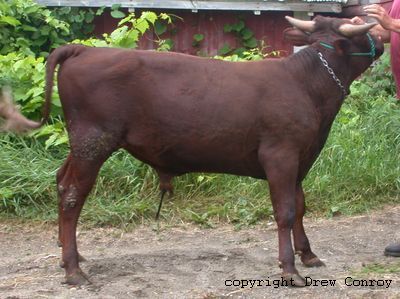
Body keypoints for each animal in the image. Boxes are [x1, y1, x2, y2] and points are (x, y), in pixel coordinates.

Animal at [0, 15, 384, 288]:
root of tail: (85, 49)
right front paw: (290, 269)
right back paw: (73, 271)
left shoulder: (303, 157)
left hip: (81, 144)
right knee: (71, 195)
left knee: (60, 180)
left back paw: (74, 258)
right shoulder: (281, 155)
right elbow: (286, 211)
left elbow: (301, 206)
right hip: (93, 141)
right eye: (360, 34)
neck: (308, 83)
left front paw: (308, 255)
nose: (381, 40)